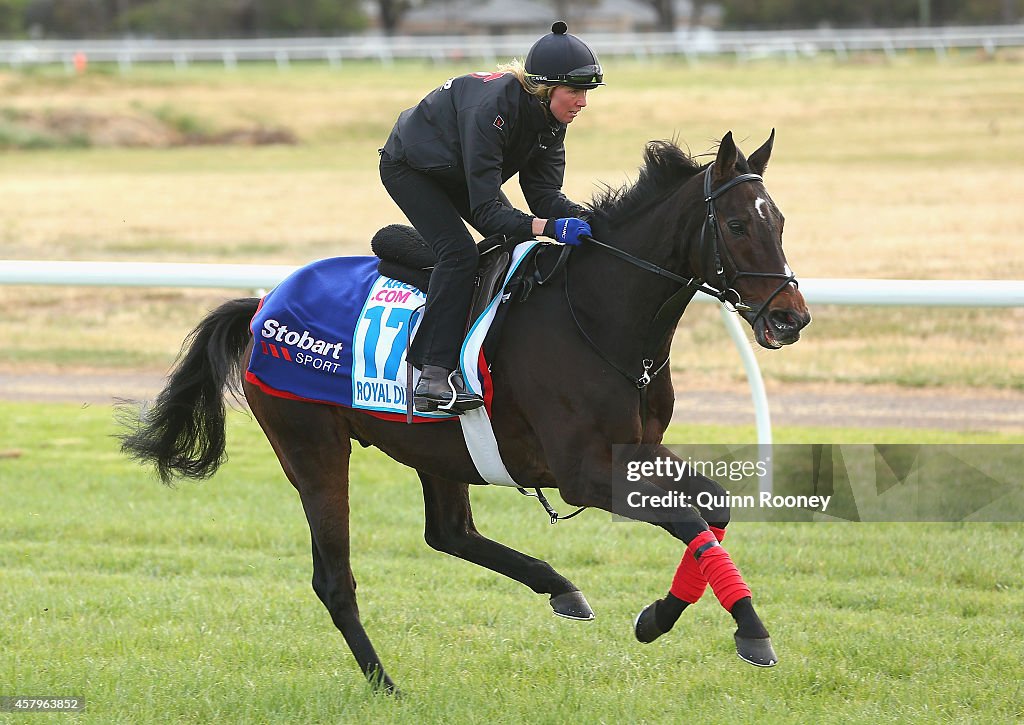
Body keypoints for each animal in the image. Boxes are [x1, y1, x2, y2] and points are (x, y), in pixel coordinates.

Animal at [117, 129, 806, 692]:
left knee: (448, 533)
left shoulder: (636, 448)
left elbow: (713, 507)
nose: (790, 317)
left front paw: (657, 616)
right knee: (335, 578)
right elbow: (687, 519)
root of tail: (264, 302)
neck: (597, 315)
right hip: (312, 447)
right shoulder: (583, 472)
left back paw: (560, 589)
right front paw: (750, 630)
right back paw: (386, 685)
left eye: (779, 223)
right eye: (738, 226)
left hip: (436, 445)